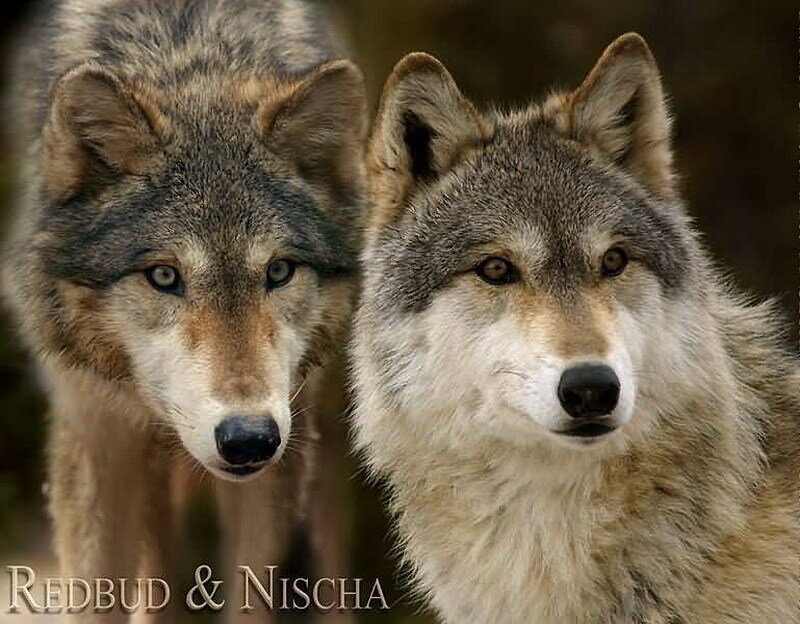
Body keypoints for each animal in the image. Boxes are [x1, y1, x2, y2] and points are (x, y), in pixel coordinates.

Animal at [3, 0, 365, 620]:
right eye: (164, 276)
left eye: (278, 272)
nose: (248, 438)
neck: (187, 60)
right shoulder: (97, 433)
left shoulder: (282, 452)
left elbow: (252, 594)